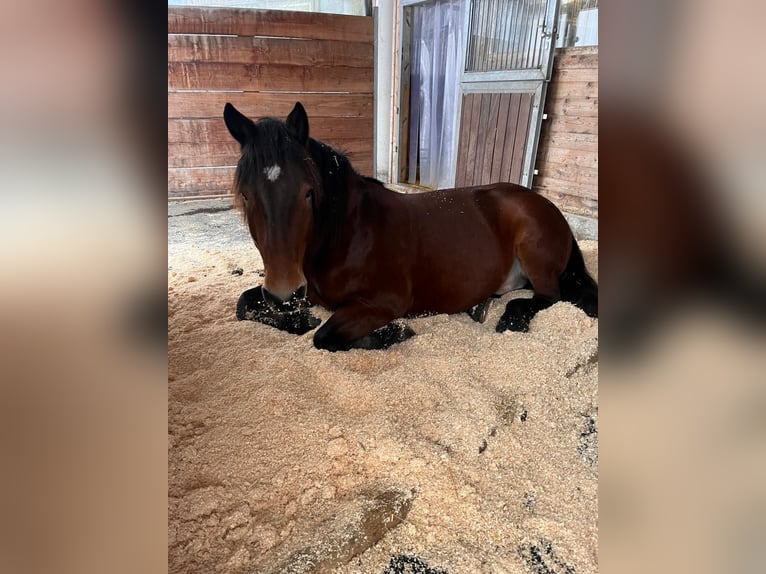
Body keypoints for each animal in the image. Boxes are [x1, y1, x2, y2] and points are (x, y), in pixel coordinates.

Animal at [222, 102, 600, 354]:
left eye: (308, 192)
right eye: (246, 194)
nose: (284, 292)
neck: (348, 235)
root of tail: (543, 203)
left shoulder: (384, 302)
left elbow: (324, 336)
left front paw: (394, 333)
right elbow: (244, 305)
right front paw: (299, 319)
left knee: (551, 296)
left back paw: (512, 317)